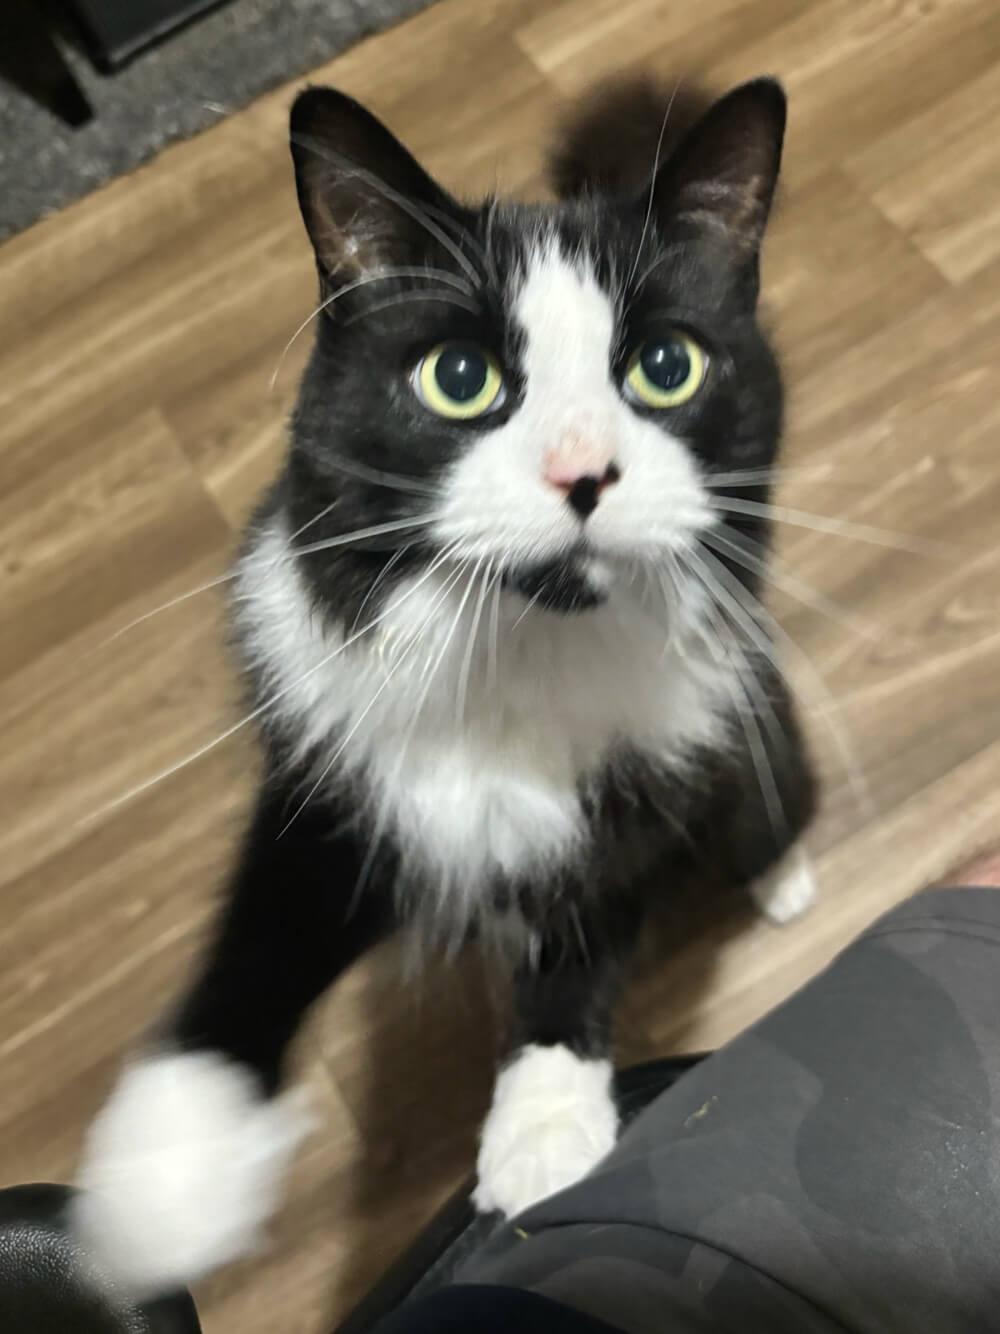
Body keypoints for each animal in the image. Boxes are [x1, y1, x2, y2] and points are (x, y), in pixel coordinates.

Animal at [74, 70, 816, 1291]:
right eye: (458, 379)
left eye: (667, 367)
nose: (583, 473)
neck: (514, 642)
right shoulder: (333, 754)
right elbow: (265, 919)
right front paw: (166, 1172)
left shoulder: (642, 770)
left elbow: (590, 915)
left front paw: (543, 1129)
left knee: (769, 797)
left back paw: (781, 873)